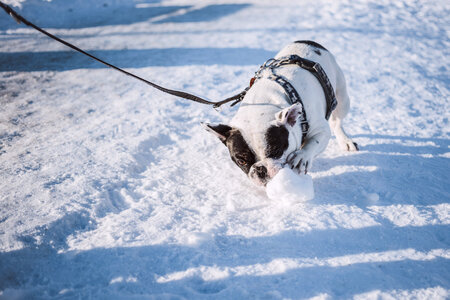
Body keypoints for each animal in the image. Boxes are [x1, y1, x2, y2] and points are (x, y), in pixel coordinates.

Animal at [204, 39, 358, 185]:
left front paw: (302, 157)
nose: (261, 169)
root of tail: (308, 42)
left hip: (342, 98)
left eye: (276, 151)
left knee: (337, 122)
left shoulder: (321, 129)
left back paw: (346, 141)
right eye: (241, 161)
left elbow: (314, 142)